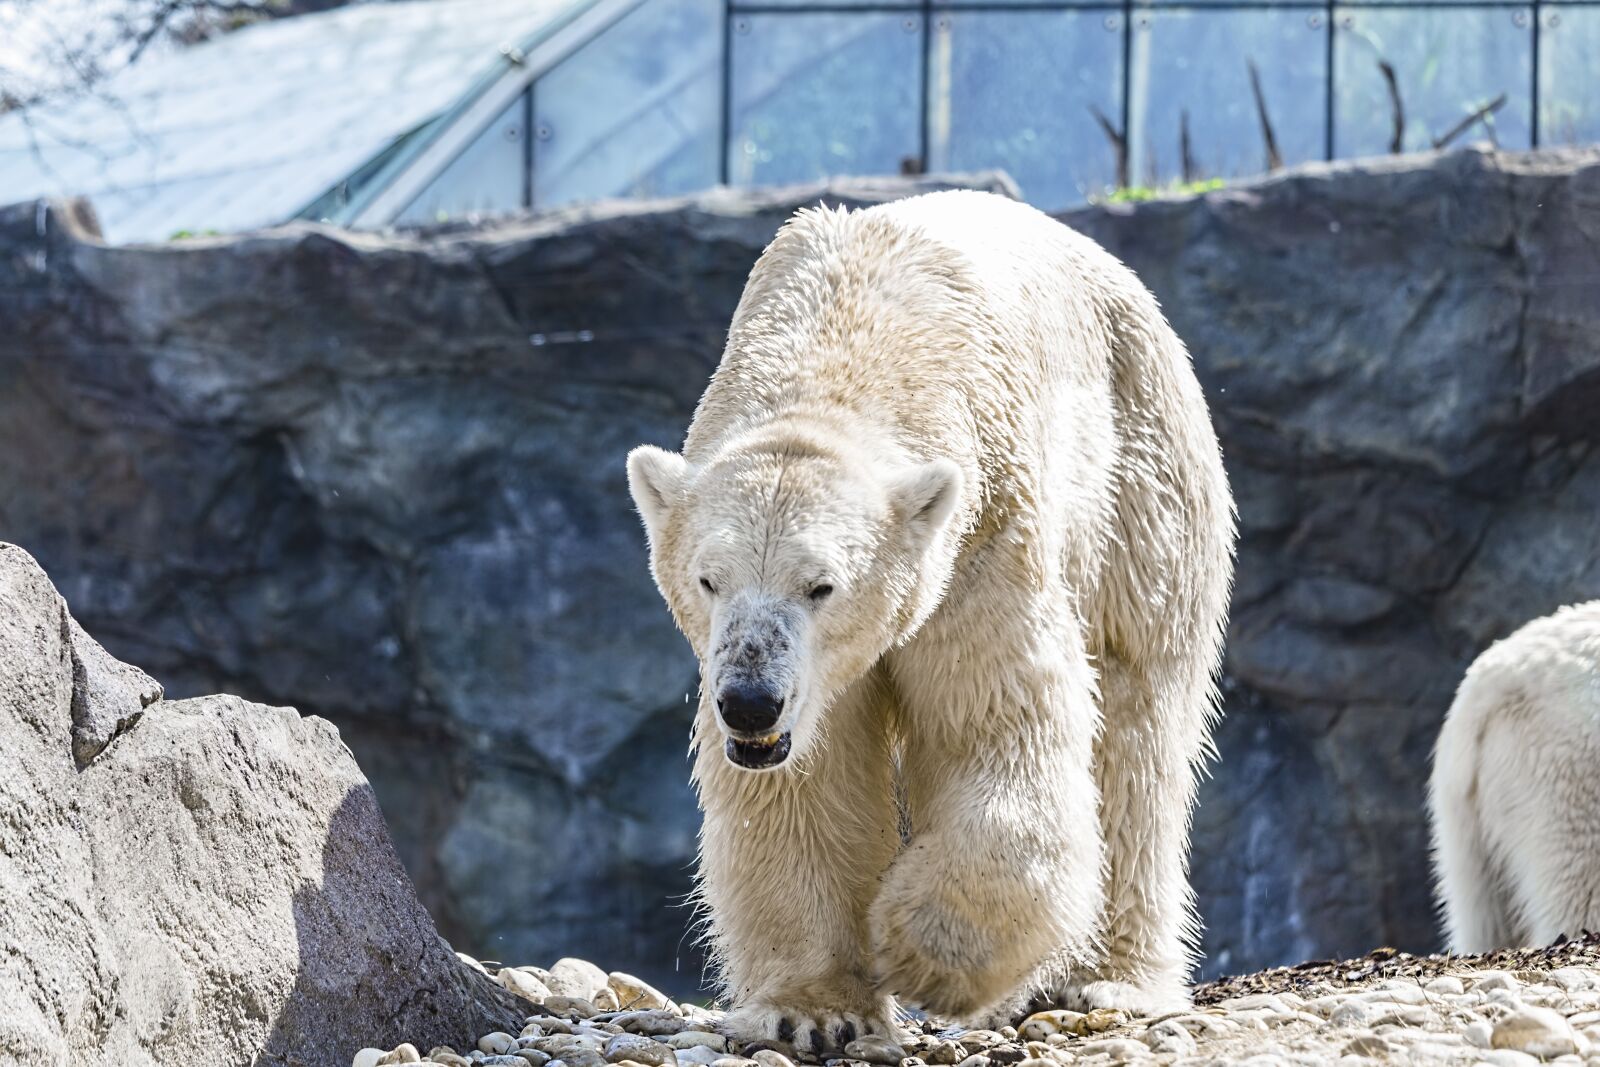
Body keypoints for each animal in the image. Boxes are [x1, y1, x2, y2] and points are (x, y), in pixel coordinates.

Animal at [626, 190, 1236, 1047]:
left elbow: (997, 721)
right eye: (708, 579)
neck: (847, 338)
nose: (749, 703)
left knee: (1135, 717)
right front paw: (815, 1010)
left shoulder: (984, 535)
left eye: (822, 585)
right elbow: (808, 780)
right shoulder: (809, 680)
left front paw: (921, 949)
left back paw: (1107, 978)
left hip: (1143, 473)